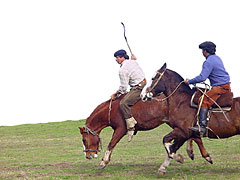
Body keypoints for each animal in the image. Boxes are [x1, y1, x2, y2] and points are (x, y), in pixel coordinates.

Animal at [78, 92, 210, 171]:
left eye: (84, 140)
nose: (87, 156)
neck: (112, 110)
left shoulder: (120, 130)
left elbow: (111, 144)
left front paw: (103, 162)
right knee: (192, 135)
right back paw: (193, 152)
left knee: (193, 135)